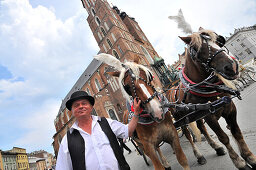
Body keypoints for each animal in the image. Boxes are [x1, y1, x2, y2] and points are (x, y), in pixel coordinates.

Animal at [167, 28, 255, 169]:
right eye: (197, 49)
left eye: (219, 41)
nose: (232, 66)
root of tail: (170, 90)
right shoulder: (209, 116)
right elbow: (223, 137)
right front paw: (239, 162)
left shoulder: (230, 108)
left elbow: (236, 132)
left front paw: (249, 157)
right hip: (180, 119)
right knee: (189, 136)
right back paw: (199, 155)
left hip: (196, 115)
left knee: (202, 128)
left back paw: (216, 147)